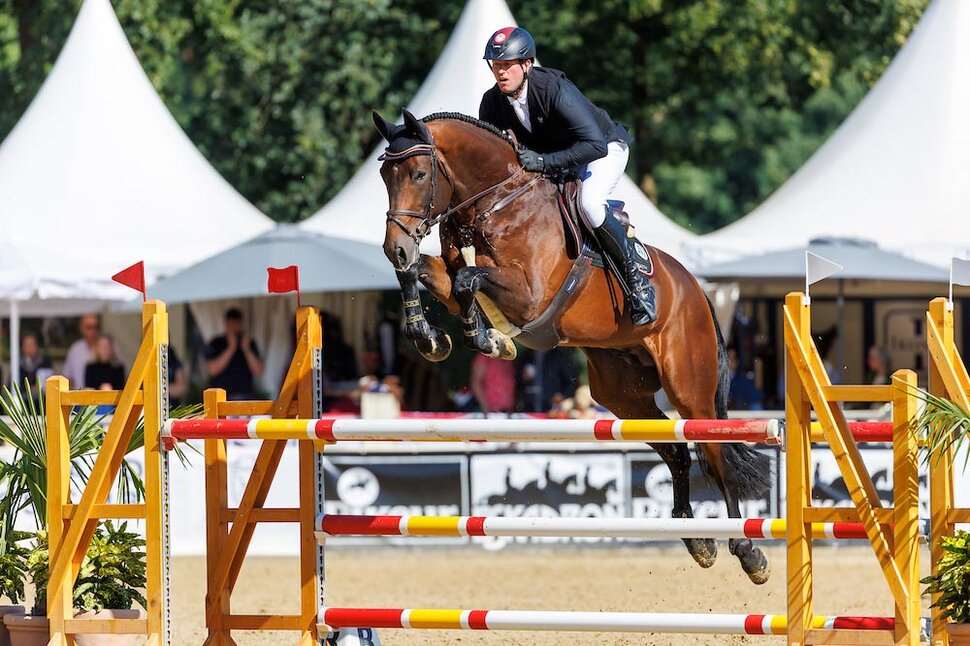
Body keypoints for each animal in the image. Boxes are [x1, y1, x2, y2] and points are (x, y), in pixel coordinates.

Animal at [372, 109, 771, 584]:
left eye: (418, 173)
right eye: (384, 175)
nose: (394, 247)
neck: (496, 202)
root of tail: (695, 289)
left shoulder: (529, 294)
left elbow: (469, 279)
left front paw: (486, 337)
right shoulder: (455, 274)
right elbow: (423, 274)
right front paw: (435, 337)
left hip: (689, 387)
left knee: (714, 453)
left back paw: (747, 551)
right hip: (621, 393)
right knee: (676, 450)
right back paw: (697, 540)